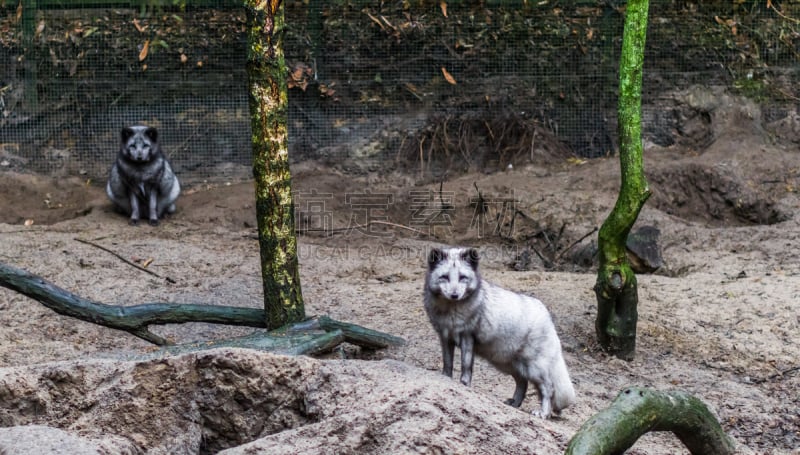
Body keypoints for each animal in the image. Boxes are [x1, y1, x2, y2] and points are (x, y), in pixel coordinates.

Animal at [424, 248, 576, 418]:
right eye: (444, 277)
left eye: (463, 277)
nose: (455, 295)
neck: (450, 312)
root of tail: (548, 317)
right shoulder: (444, 337)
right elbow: (448, 362)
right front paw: (446, 378)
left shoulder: (467, 336)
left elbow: (466, 365)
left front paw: (464, 384)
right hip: (508, 364)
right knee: (522, 383)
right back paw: (515, 403)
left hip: (534, 367)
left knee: (547, 388)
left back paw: (543, 413)